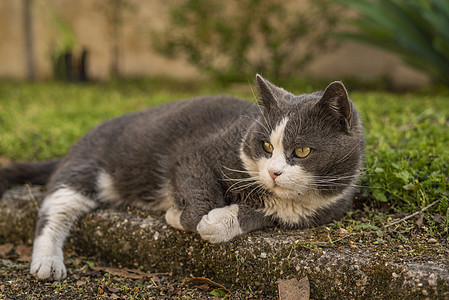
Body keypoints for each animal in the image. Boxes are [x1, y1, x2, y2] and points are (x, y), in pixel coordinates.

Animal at [0, 74, 364, 280]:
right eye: (264, 145)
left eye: (301, 151)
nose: (273, 172)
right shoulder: (198, 152)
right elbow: (199, 195)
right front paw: (180, 215)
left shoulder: (300, 214)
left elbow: (256, 216)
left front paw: (219, 222)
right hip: (88, 168)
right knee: (54, 209)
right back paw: (47, 263)